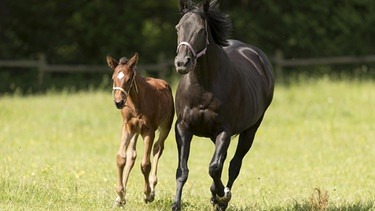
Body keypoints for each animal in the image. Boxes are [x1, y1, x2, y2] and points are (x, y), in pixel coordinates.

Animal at [106, 53, 176, 208]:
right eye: (113, 78)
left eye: (128, 79)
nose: (119, 102)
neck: (136, 103)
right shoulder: (127, 127)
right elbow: (121, 158)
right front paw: (120, 195)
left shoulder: (149, 131)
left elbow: (145, 164)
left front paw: (148, 194)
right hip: (135, 132)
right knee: (131, 155)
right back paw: (120, 198)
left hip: (165, 127)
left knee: (158, 148)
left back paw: (152, 187)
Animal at [173, 0, 276, 211]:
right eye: (178, 28)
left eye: (201, 30)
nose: (182, 63)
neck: (203, 87)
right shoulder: (183, 128)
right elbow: (182, 170)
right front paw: (176, 204)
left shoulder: (224, 131)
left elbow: (214, 167)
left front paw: (221, 195)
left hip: (250, 130)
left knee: (234, 164)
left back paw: (222, 198)